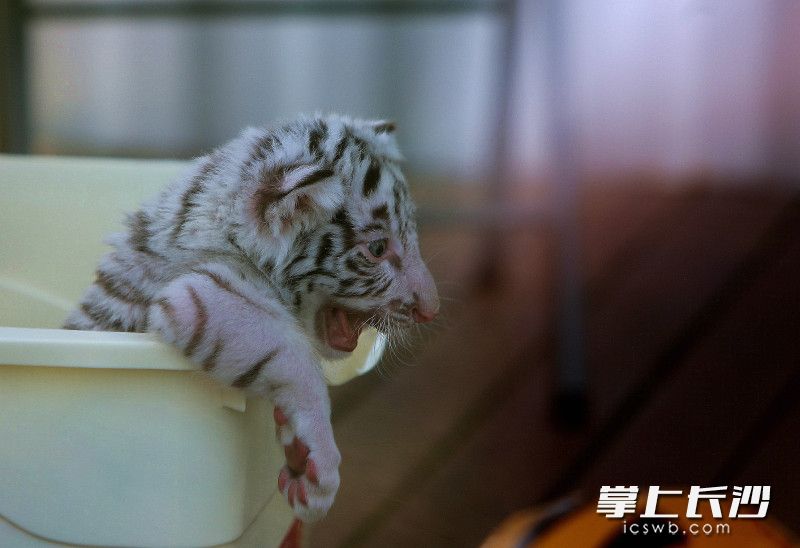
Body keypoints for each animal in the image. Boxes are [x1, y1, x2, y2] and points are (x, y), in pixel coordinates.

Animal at [63, 114, 439, 523]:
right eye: (378, 248)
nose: (431, 309)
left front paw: (298, 451)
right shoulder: (199, 296)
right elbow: (293, 356)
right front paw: (320, 464)